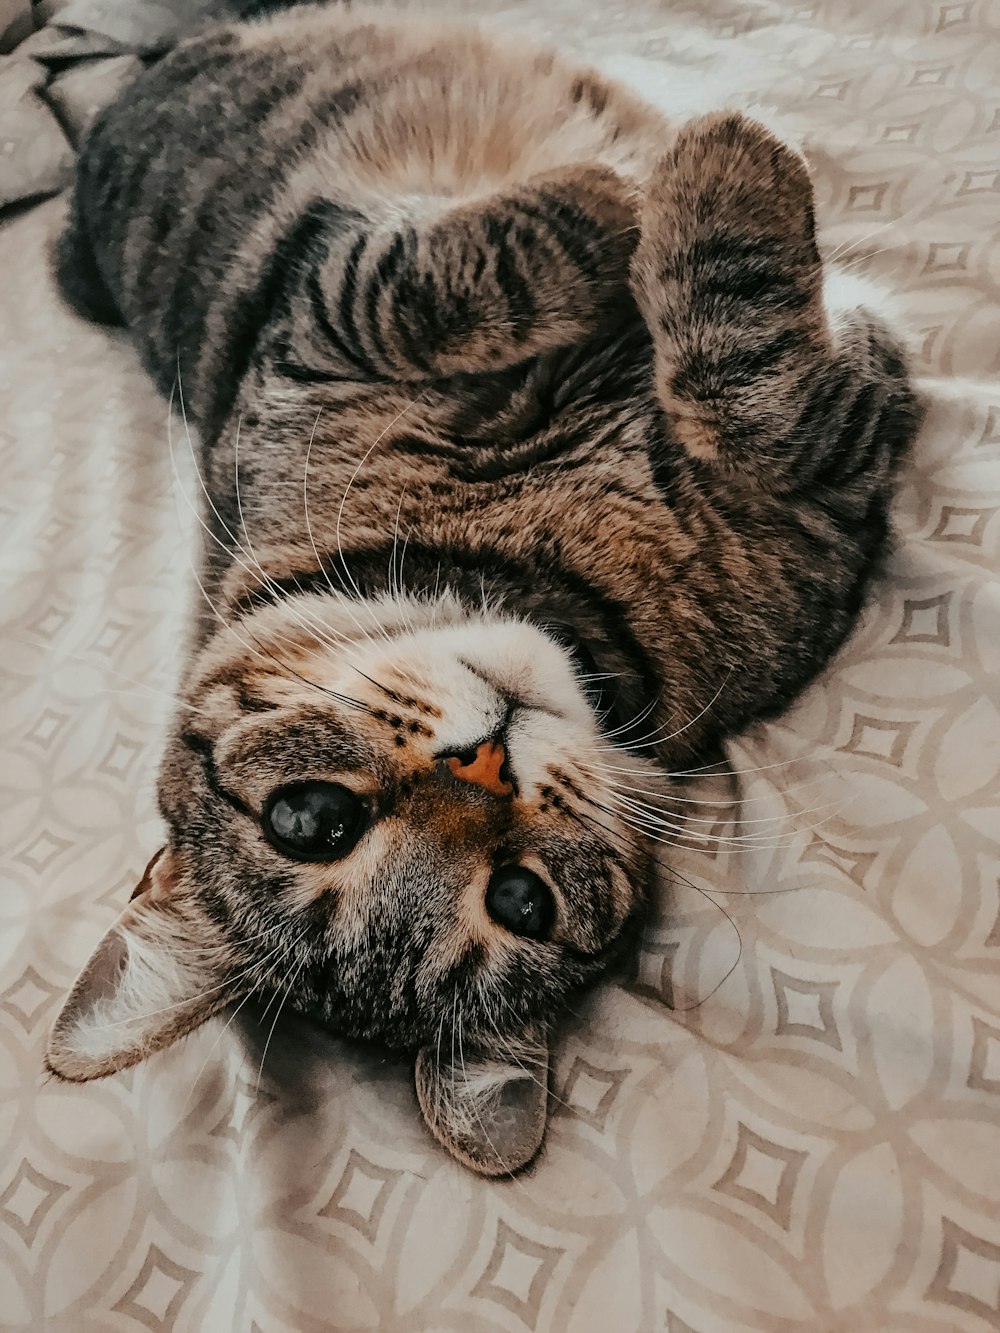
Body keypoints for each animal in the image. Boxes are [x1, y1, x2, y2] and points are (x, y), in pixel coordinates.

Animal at [47, 0, 922, 1173]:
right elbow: (733, 373)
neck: (540, 574)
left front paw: (652, 190)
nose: (486, 759)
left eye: (309, 818)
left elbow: (465, 287)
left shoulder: (329, 322)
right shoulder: (837, 481)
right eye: (522, 899)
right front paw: (686, 177)